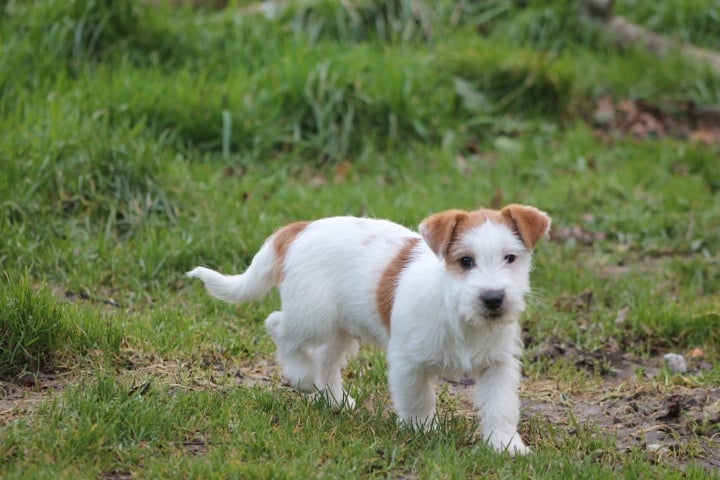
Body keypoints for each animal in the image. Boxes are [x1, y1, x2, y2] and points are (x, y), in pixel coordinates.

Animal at [187, 204, 550, 455]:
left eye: (510, 258)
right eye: (465, 261)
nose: (493, 298)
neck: (460, 315)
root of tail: (297, 228)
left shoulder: (498, 365)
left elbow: (500, 406)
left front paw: (505, 445)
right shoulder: (408, 363)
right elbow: (418, 400)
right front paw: (424, 431)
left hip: (340, 329)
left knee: (325, 359)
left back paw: (332, 398)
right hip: (312, 316)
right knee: (279, 326)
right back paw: (301, 375)